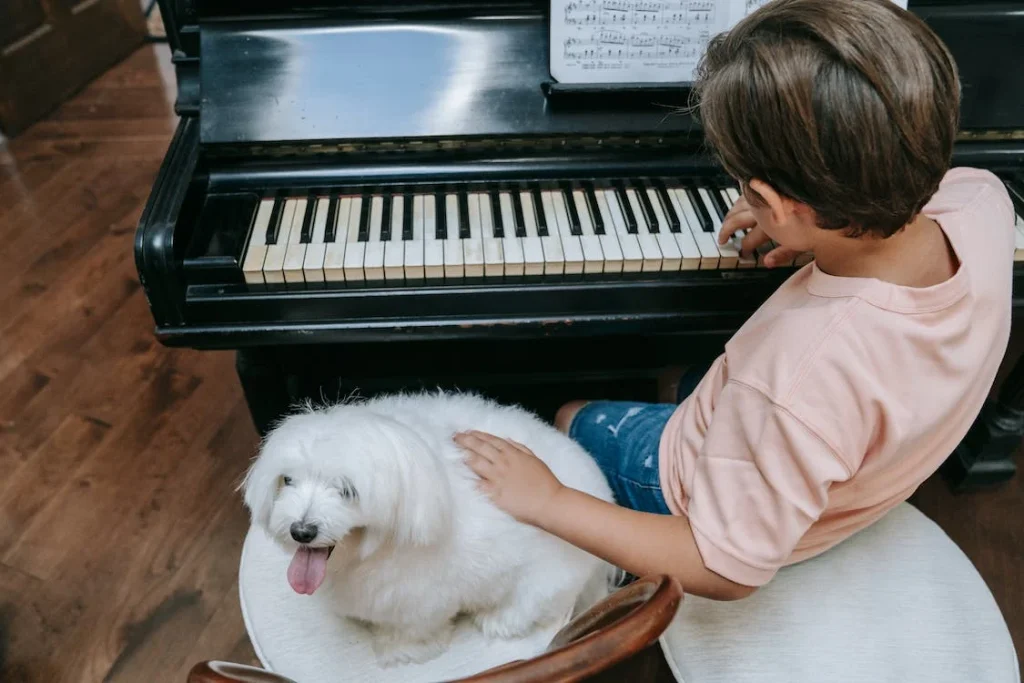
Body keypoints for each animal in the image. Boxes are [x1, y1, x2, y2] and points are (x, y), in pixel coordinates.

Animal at [241, 389, 614, 667]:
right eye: (287, 480)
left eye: (347, 490)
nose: (301, 532)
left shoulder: (421, 600)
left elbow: (413, 629)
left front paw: (399, 650)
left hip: (544, 580)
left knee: (527, 605)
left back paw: (497, 619)